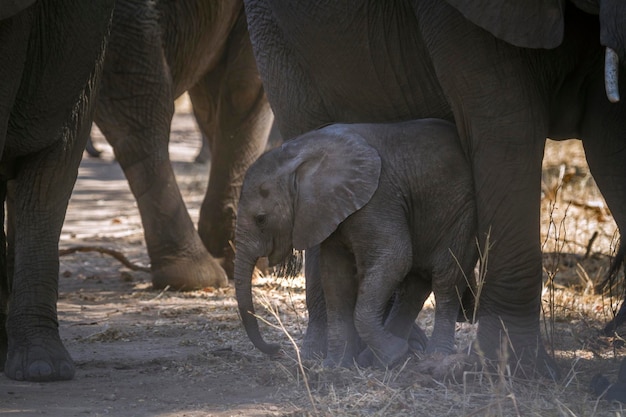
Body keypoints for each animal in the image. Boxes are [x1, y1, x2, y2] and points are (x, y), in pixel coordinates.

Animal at [233, 118, 472, 366]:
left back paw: (433, 356)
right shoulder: (330, 210)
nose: (277, 348)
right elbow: (334, 274)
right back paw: (380, 358)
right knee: (415, 287)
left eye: (260, 219)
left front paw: (394, 354)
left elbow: (395, 256)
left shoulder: (378, 198)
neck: (298, 154)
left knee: (447, 279)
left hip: (462, 213)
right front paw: (336, 365)